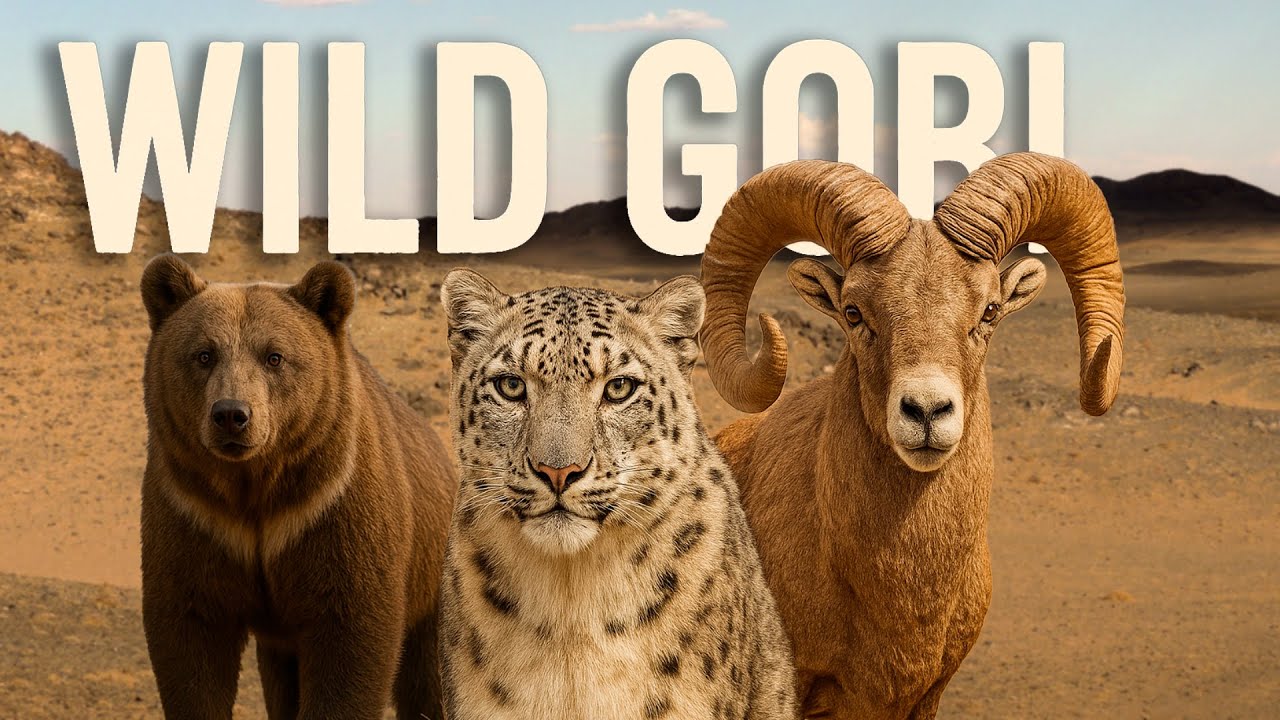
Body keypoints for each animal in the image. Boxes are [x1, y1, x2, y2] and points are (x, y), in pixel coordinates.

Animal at [138, 255, 455, 719]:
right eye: (203, 354)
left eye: (274, 356)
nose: (231, 414)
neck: (256, 489)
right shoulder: (194, 514)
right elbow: (190, 640)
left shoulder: (333, 513)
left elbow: (352, 643)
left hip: (434, 571)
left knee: (431, 675)